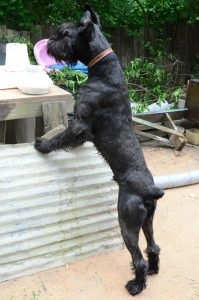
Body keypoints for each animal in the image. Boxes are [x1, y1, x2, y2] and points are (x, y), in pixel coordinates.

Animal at [35, 5, 164, 296]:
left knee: (137, 257)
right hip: (147, 221)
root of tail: (150, 191)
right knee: (153, 246)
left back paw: (136, 285)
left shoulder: (80, 124)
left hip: (127, 221)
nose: (49, 43)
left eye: (65, 33)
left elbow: (63, 137)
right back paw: (152, 271)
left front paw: (43, 146)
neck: (104, 69)